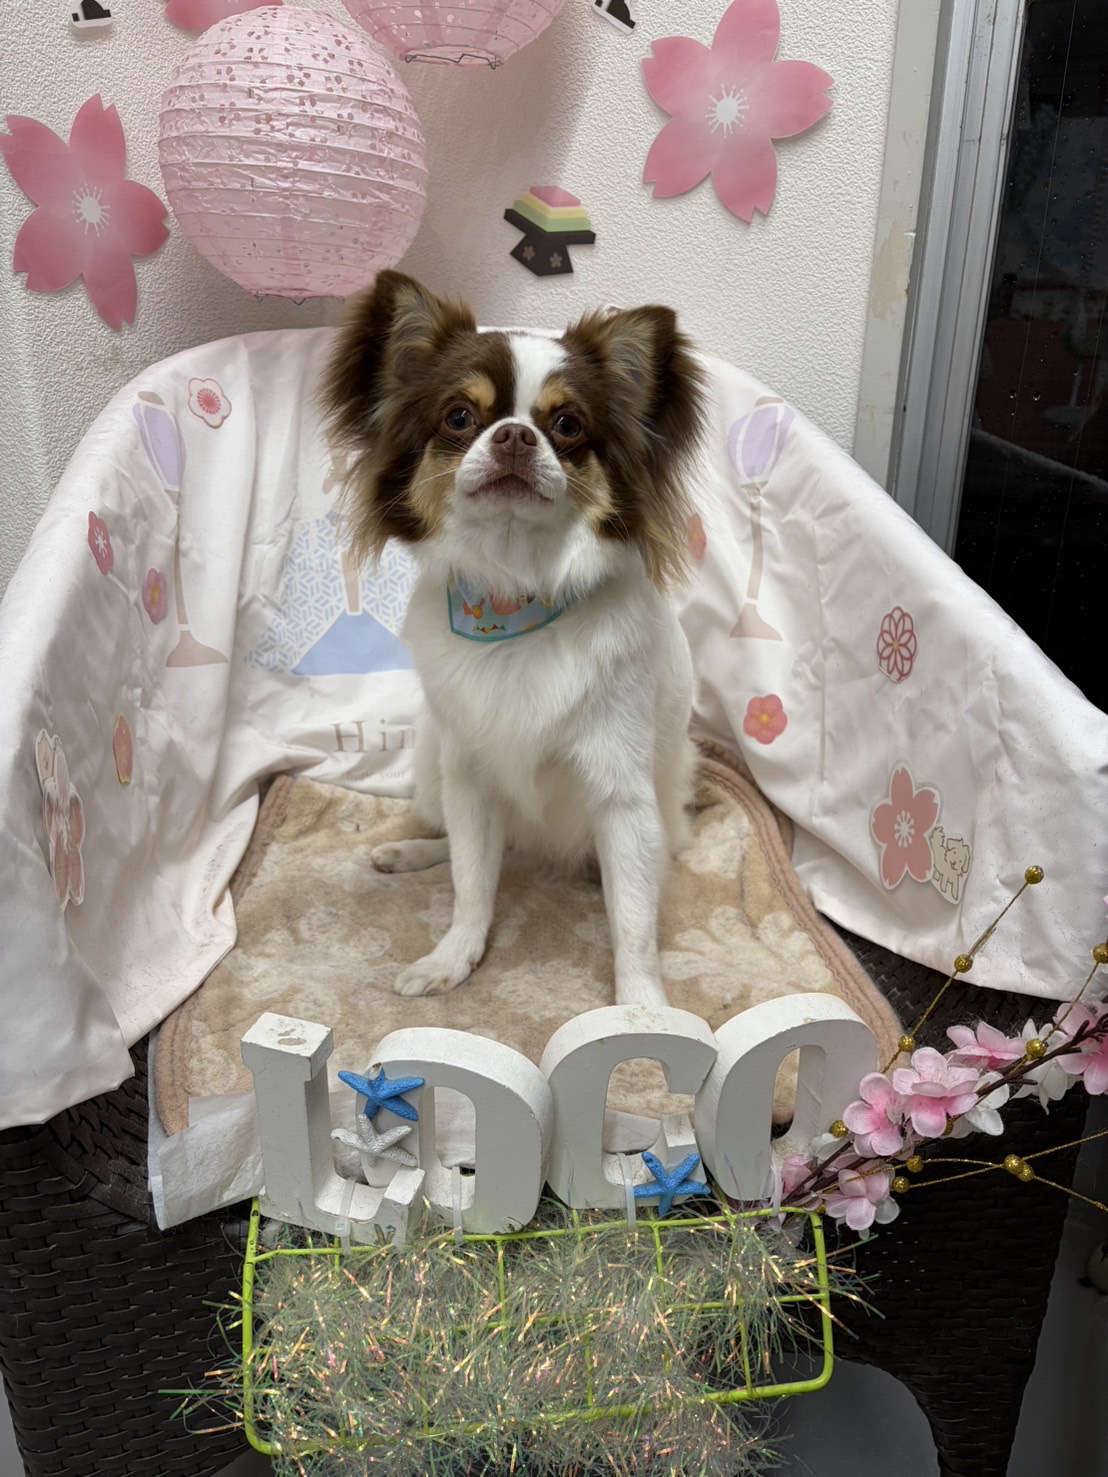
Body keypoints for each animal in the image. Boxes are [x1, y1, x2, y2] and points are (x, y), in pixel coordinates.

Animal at [322, 271, 708, 1006]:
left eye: (567, 425)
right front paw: (454, 956)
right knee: (463, 844)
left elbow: (634, 923)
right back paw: (410, 851)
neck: (512, 598)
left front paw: (643, 1008)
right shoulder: (469, 774)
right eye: (458, 418)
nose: (515, 437)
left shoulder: (623, 797)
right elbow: (472, 881)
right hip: (432, 762)